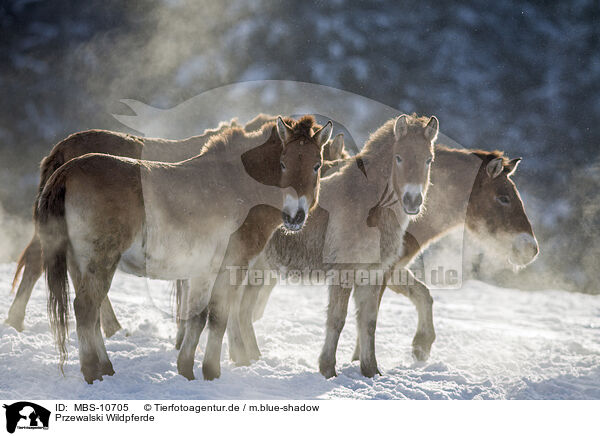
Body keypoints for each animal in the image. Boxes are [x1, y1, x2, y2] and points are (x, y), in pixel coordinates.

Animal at [36, 115, 332, 382]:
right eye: (283, 163)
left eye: (317, 165)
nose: (295, 216)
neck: (237, 188)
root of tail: (66, 171)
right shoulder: (229, 268)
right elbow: (218, 318)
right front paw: (211, 372)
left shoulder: (199, 272)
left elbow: (196, 318)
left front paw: (186, 369)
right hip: (100, 261)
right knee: (86, 309)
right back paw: (93, 373)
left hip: (79, 263)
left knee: (91, 311)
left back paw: (104, 368)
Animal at [227, 114, 438, 376]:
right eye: (398, 157)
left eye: (428, 159)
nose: (412, 201)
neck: (367, 208)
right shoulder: (343, 272)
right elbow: (337, 319)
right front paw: (327, 369)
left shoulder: (374, 274)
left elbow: (369, 322)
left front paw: (371, 370)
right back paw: (242, 357)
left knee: (241, 309)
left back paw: (249, 356)